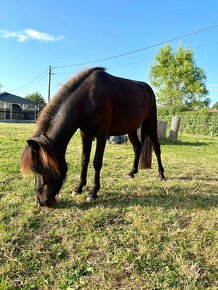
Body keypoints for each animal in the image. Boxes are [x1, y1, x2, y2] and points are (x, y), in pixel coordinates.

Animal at [20, 67, 164, 206]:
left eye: (38, 168)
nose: (41, 202)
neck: (87, 99)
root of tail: (148, 89)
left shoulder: (101, 134)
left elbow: (96, 162)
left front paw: (93, 193)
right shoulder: (85, 134)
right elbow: (84, 159)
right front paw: (78, 188)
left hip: (151, 122)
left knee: (156, 147)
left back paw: (161, 174)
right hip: (131, 129)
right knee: (137, 147)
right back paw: (132, 172)